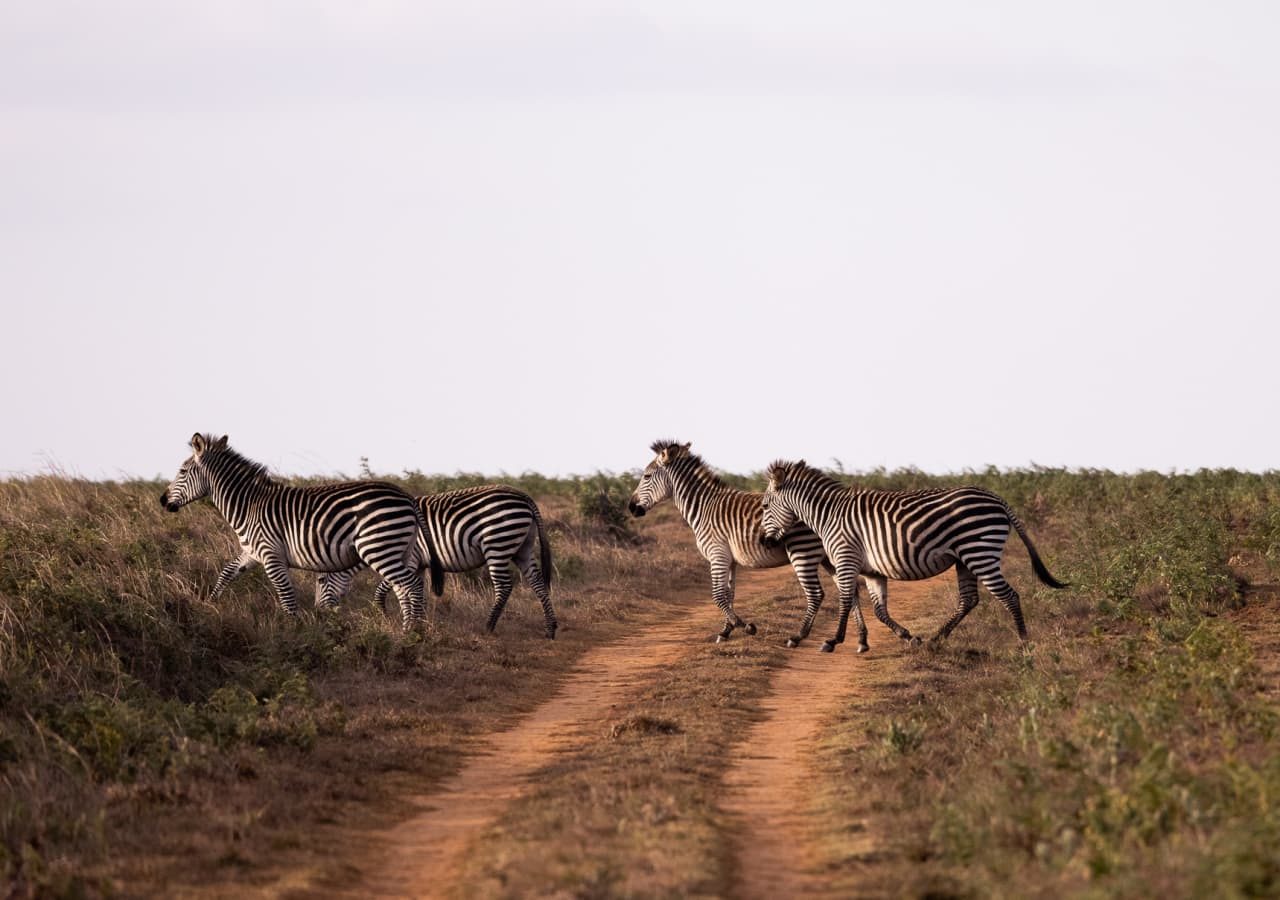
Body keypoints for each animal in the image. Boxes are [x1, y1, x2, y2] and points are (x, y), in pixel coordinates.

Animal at [160, 432, 445, 629]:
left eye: (182, 471)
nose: (162, 501)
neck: (249, 505)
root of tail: (406, 495)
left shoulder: (271, 555)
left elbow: (286, 596)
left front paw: (294, 632)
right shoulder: (252, 552)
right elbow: (226, 573)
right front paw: (210, 605)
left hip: (378, 547)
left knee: (412, 585)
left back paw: (415, 632)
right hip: (400, 549)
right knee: (404, 588)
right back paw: (410, 630)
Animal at [312, 486, 558, 640]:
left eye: (321, 580)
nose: (318, 614)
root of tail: (524, 496)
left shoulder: (410, 560)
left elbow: (383, 589)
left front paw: (385, 614)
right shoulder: (419, 564)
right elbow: (416, 592)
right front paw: (419, 625)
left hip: (497, 544)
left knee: (504, 586)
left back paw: (489, 626)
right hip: (522, 548)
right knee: (538, 583)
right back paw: (550, 628)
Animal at [627, 440, 829, 645]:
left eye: (646, 476)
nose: (631, 508)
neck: (703, 507)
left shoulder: (717, 555)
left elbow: (717, 595)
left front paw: (745, 626)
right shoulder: (729, 560)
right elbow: (729, 594)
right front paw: (726, 630)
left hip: (802, 549)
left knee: (815, 594)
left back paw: (798, 636)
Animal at [757, 460, 1070, 650]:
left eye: (764, 506)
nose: (764, 540)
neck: (828, 515)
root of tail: (997, 498)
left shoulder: (846, 557)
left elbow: (845, 600)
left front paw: (832, 641)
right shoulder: (871, 570)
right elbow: (879, 610)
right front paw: (905, 636)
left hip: (979, 551)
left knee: (1008, 596)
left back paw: (1023, 642)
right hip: (965, 559)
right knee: (969, 599)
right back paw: (936, 639)